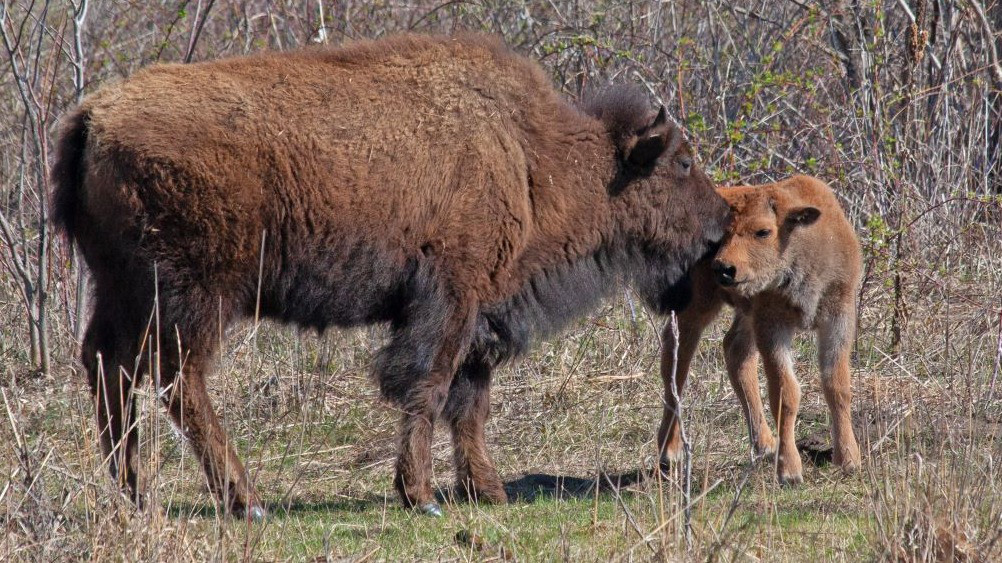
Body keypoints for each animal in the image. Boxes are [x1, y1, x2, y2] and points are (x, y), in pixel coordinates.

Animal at [50, 33, 730, 519]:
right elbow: (428, 385)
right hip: (194, 295)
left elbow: (469, 400)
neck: (529, 155)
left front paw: (487, 491)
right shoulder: (448, 298)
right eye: (682, 163)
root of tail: (93, 118)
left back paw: (136, 496)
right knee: (175, 378)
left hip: (120, 289)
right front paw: (421, 496)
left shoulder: (479, 313)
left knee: (107, 366)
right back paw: (247, 502)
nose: (721, 221)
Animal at [657, 176, 862, 485]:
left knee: (735, 351)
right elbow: (785, 392)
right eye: (723, 234)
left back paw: (765, 444)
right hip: (697, 307)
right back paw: (670, 451)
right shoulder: (772, 324)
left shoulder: (838, 317)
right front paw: (790, 471)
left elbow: (836, 385)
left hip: (744, 314)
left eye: (763, 231)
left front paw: (849, 459)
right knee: (676, 364)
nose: (723, 268)